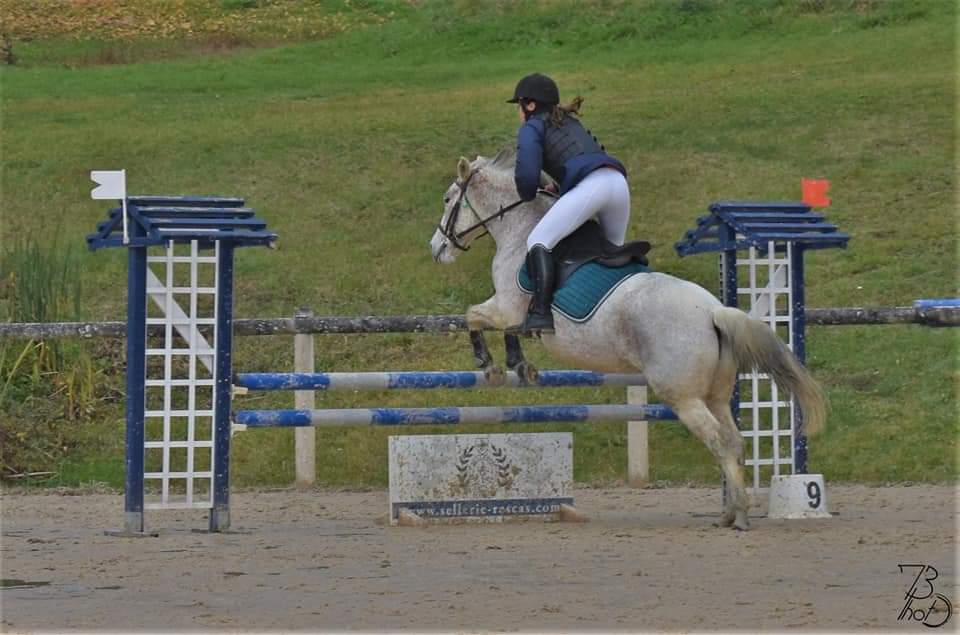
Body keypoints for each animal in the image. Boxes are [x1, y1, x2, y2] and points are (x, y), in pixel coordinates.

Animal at [430, 150, 824, 532]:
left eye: (448, 199)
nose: (436, 248)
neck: (520, 226)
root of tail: (714, 311)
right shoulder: (509, 313)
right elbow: (495, 325)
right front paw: (520, 366)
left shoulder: (506, 307)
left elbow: (472, 316)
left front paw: (493, 366)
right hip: (716, 396)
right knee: (735, 441)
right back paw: (728, 513)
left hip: (683, 397)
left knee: (720, 443)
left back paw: (739, 515)